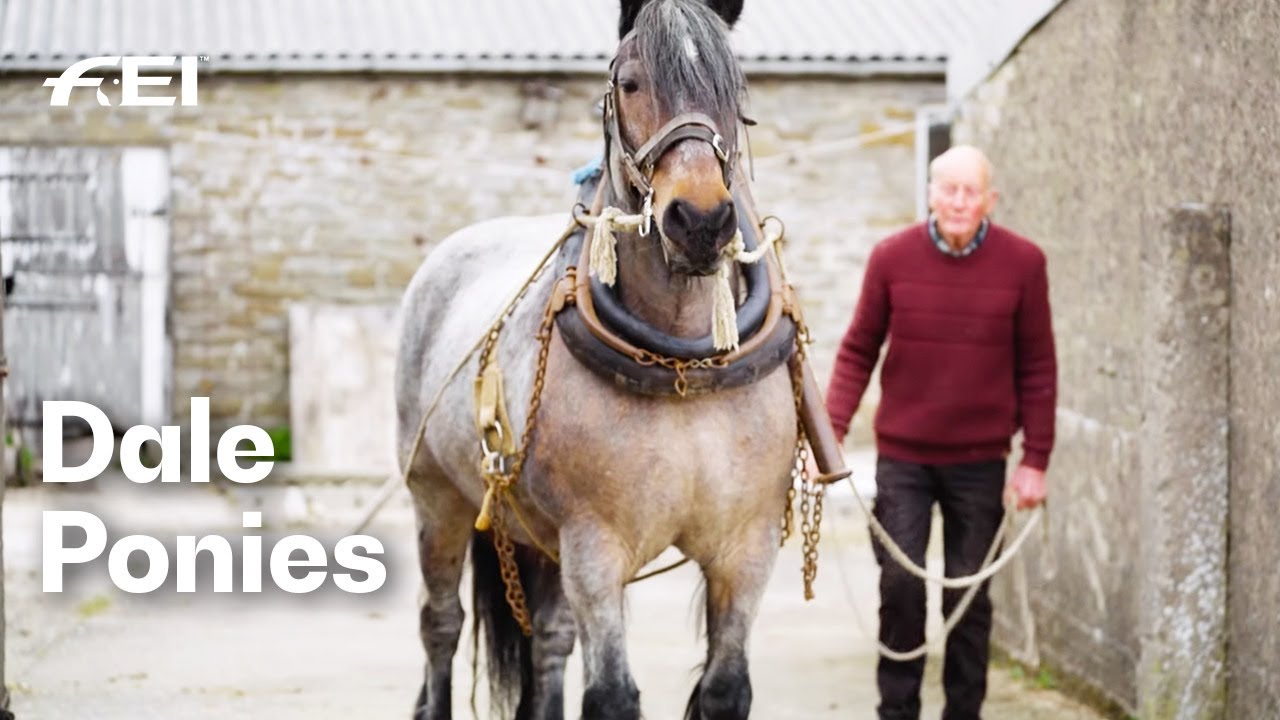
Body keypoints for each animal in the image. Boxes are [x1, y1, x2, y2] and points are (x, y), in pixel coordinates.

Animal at [394, 1, 802, 718]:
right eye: (631, 83)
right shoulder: (594, 546)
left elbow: (725, 688)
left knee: (549, 641)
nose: (700, 221)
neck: (682, 368)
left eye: (735, 90)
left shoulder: (746, 547)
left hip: (536, 535)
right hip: (437, 499)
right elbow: (611, 694)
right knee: (440, 626)